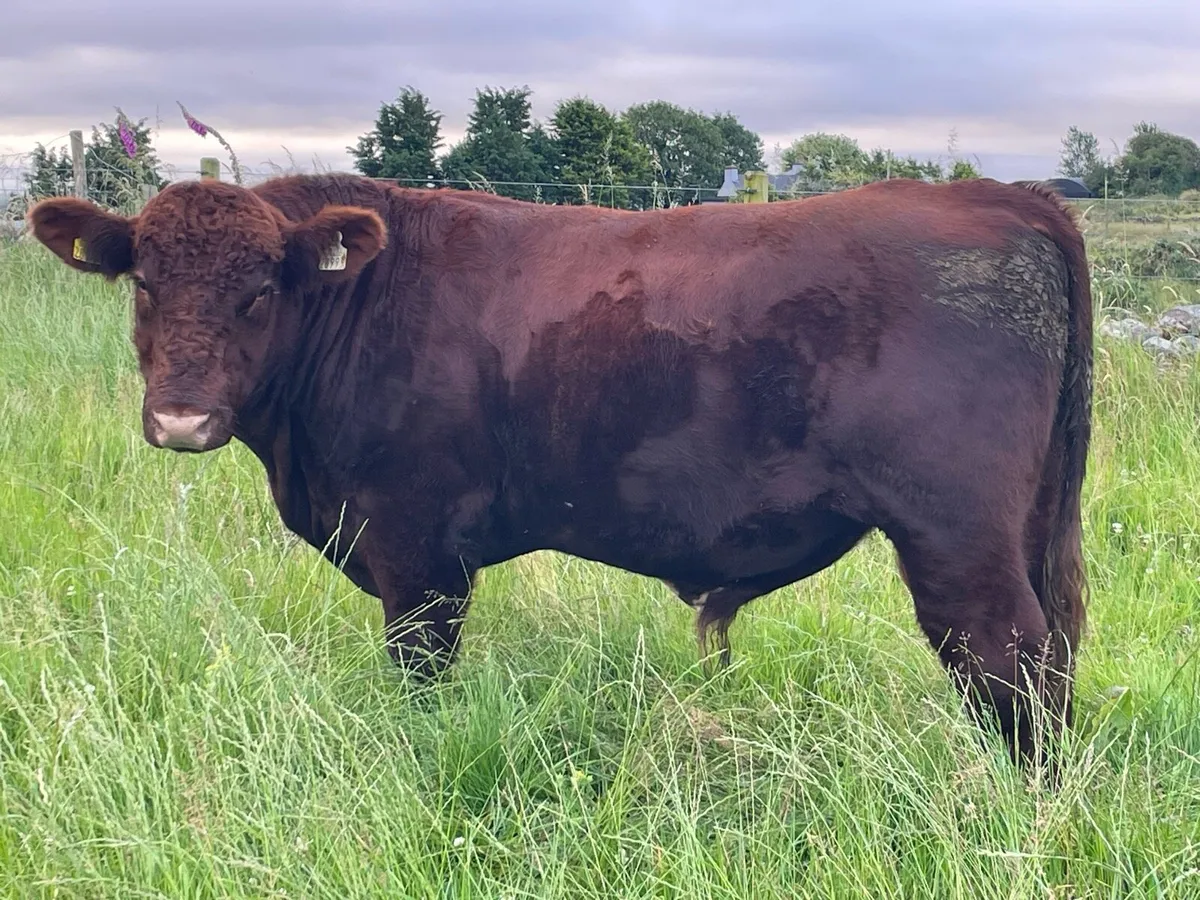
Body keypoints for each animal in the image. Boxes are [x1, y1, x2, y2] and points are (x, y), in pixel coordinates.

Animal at [27, 172, 1092, 774]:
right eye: (144, 283)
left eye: (259, 291)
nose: (182, 417)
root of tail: (999, 193)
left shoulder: (415, 554)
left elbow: (420, 682)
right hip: (1031, 522)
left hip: (956, 536)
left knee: (1009, 663)